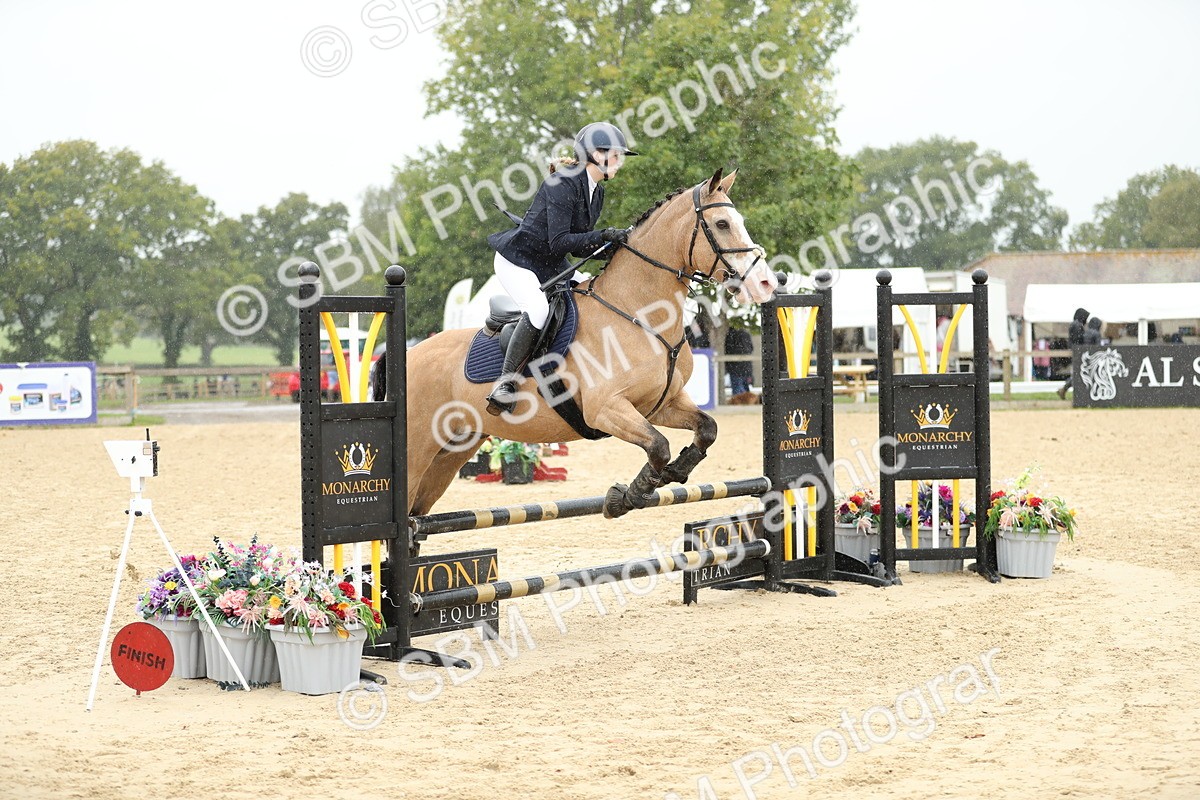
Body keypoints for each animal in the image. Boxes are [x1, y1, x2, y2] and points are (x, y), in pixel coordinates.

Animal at [378, 168, 779, 519]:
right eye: (722, 224)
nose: (765, 283)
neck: (638, 313)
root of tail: (408, 355)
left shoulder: (659, 405)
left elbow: (706, 429)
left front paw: (674, 472)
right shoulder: (606, 409)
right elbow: (657, 446)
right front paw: (627, 497)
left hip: (452, 451)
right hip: (418, 448)